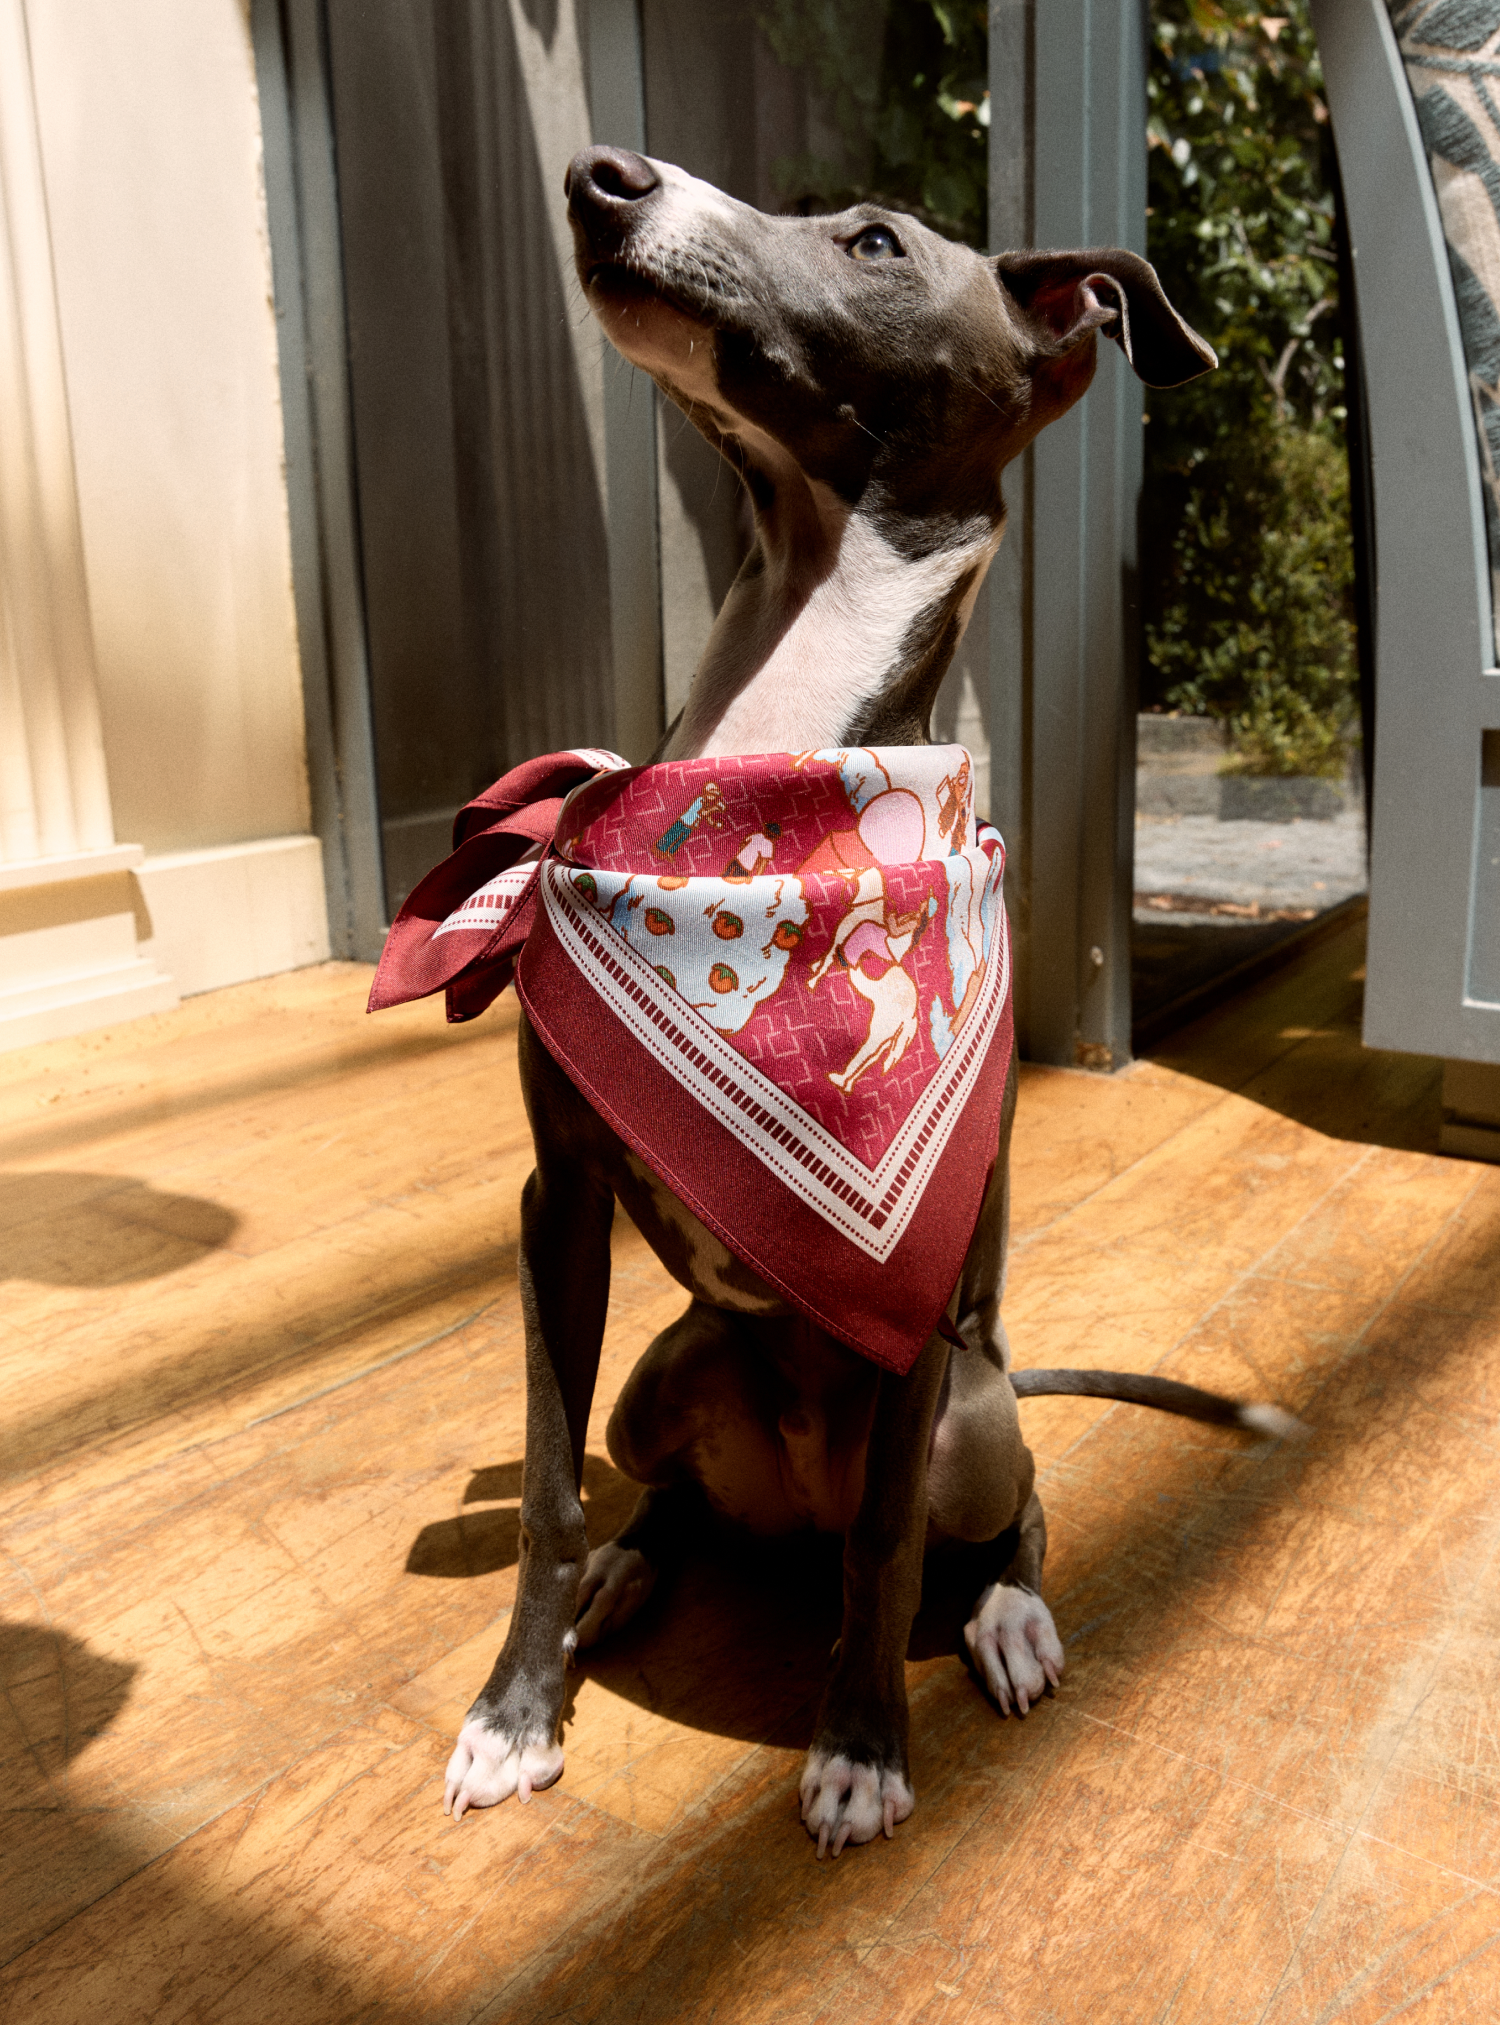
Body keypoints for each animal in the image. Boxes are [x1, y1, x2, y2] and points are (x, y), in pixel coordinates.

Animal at [437, 147, 1287, 1857]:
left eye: (877, 242)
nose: (600, 178)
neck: (768, 750)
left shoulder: (913, 1286)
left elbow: (891, 1551)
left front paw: (862, 1747)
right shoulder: (559, 1203)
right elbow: (547, 1492)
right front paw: (517, 1708)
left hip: (969, 1403)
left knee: (984, 1515)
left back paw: (1006, 1614)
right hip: (669, 1373)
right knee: (683, 1496)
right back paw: (638, 1562)